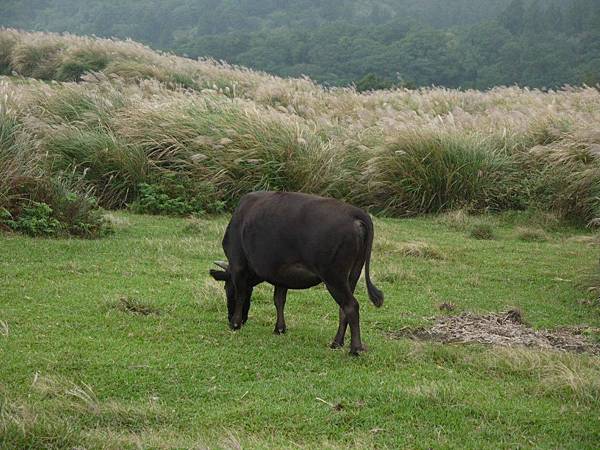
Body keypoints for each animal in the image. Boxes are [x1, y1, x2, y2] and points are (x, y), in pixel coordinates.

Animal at [209, 191, 382, 356]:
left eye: (226, 288)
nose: (231, 318)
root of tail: (355, 212)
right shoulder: (280, 274)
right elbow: (279, 300)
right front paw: (279, 329)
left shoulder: (238, 265)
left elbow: (241, 295)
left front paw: (235, 324)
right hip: (352, 274)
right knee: (343, 309)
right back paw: (336, 343)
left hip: (334, 276)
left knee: (351, 306)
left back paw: (355, 349)